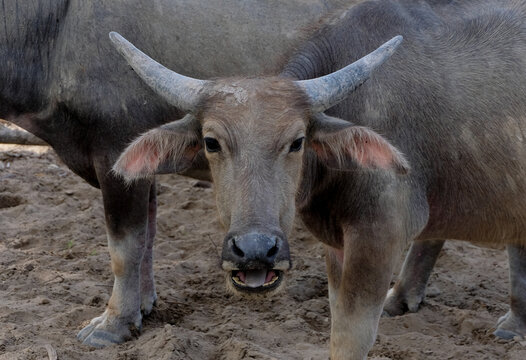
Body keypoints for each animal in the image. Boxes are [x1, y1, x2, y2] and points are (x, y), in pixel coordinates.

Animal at [0, 0, 350, 350]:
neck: (54, 31)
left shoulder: (113, 153)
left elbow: (124, 248)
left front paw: (113, 323)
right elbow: (147, 237)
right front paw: (142, 305)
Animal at [113, 0, 526, 358]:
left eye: (297, 141)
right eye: (211, 142)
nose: (256, 251)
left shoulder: (379, 237)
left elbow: (349, 337)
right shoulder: (336, 245)